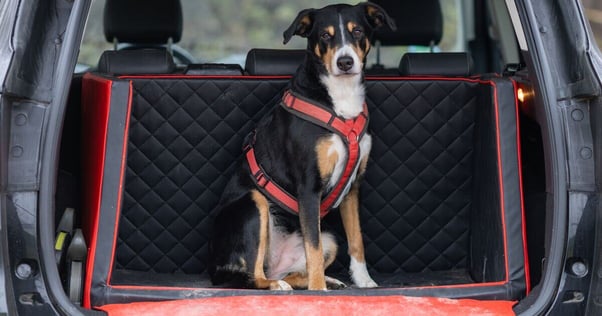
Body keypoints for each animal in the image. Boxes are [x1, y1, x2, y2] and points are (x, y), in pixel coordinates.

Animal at [209, 2, 396, 290]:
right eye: (325, 36)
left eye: (357, 31)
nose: (345, 62)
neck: (340, 100)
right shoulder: (309, 187)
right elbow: (313, 249)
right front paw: (317, 290)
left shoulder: (353, 187)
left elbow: (356, 241)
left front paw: (363, 280)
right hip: (255, 203)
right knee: (253, 275)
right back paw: (279, 285)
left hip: (330, 240)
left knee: (291, 270)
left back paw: (327, 280)